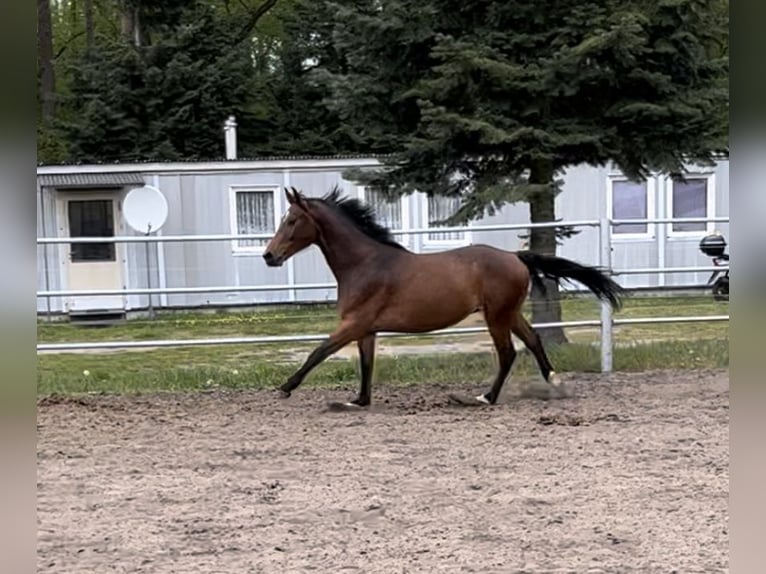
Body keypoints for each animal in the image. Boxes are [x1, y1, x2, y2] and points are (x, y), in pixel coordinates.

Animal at [264, 187, 624, 408]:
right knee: (533, 340)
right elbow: (366, 365)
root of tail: (515, 257)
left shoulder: (354, 323)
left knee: (507, 353)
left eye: (292, 220)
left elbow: (318, 352)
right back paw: (554, 382)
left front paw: (284, 388)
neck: (365, 264)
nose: (269, 256)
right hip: (509, 313)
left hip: (496, 316)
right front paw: (358, 401)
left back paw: (484, 398)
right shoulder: (366, 330)